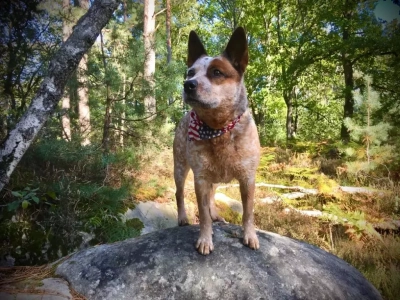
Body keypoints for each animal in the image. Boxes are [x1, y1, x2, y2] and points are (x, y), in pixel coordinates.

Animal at [173, 27, 260, 255]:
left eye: (217, 72)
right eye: (190, 72)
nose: (188, 85)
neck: (218, 130)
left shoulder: (248, 178)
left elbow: (248, 212)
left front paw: (250, 235)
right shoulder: (200, 178)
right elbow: (202, 214)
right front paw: (205, 239)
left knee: (212, 194)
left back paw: (215, 214)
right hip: (180, 167)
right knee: (179, 193)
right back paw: (183, 218)